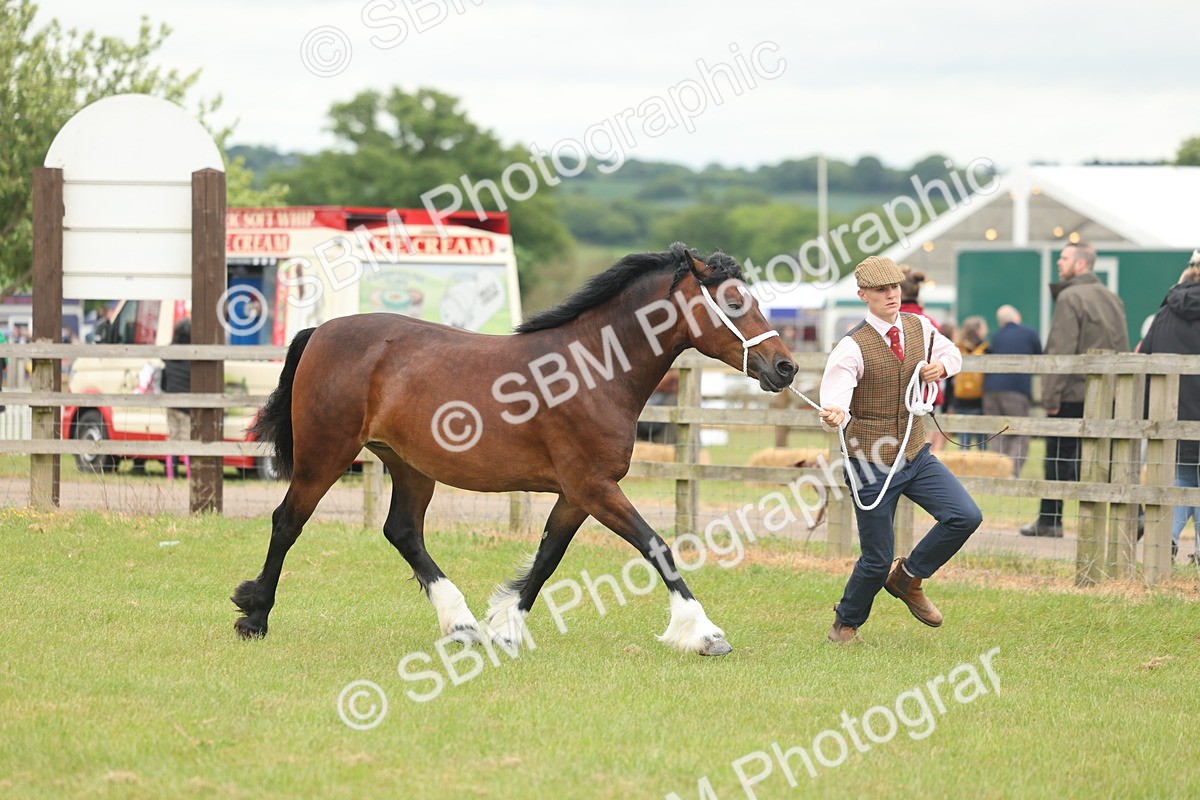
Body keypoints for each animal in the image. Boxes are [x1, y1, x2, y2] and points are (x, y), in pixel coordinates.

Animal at [232, 242, 797, 656]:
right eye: (733, 303)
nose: (785, 367)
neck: (593, 370)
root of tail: (320, 330)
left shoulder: (576, 494)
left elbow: (547, 558)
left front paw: (503, 628)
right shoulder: (594, 487)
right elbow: (655, 545)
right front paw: (704, 633)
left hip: (411, 466)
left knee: (403, 533)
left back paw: (461, 624)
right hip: (324, 455)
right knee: (287, 522)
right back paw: (255, 615)